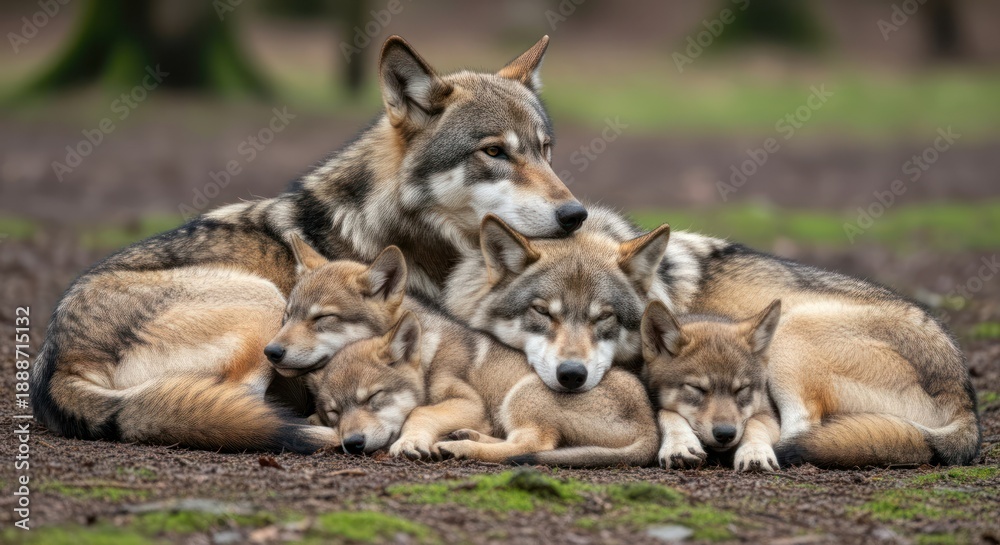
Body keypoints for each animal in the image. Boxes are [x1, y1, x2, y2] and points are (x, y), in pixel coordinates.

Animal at [275, 238, 658, 467]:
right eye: (286, 315)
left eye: (323, 318)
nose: (272, 351)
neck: (427, 351)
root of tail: (650, 425)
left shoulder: (468, 402)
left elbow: (420, 413)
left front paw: (411, 441)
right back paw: (464, 437)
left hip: (523, 394)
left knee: (531, 446)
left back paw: (460, 446)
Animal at [641, 300, 782, 471]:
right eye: (697, 388)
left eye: (741, 389)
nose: (725, 434)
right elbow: (667, 413)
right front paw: (679, 445)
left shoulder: (769, 415)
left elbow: (754, 423)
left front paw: (755, 451)